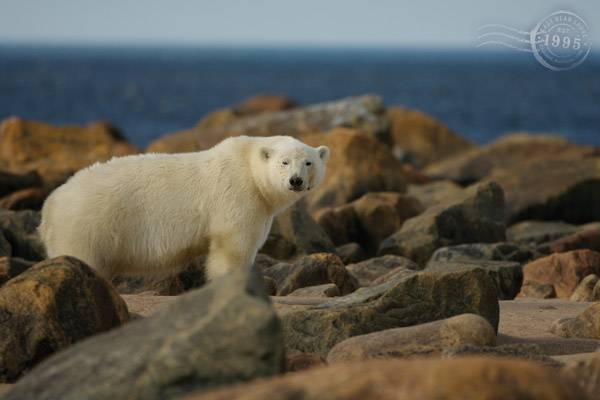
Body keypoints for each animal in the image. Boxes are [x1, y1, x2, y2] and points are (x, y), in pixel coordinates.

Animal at [38, 137, 328, 282]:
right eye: (284, 162)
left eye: (309, 162)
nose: (295, 181)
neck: (248, 166)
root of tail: (50, 205)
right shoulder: (236, 194)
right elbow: (232, 246)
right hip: (88, 225)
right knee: (82, 256)